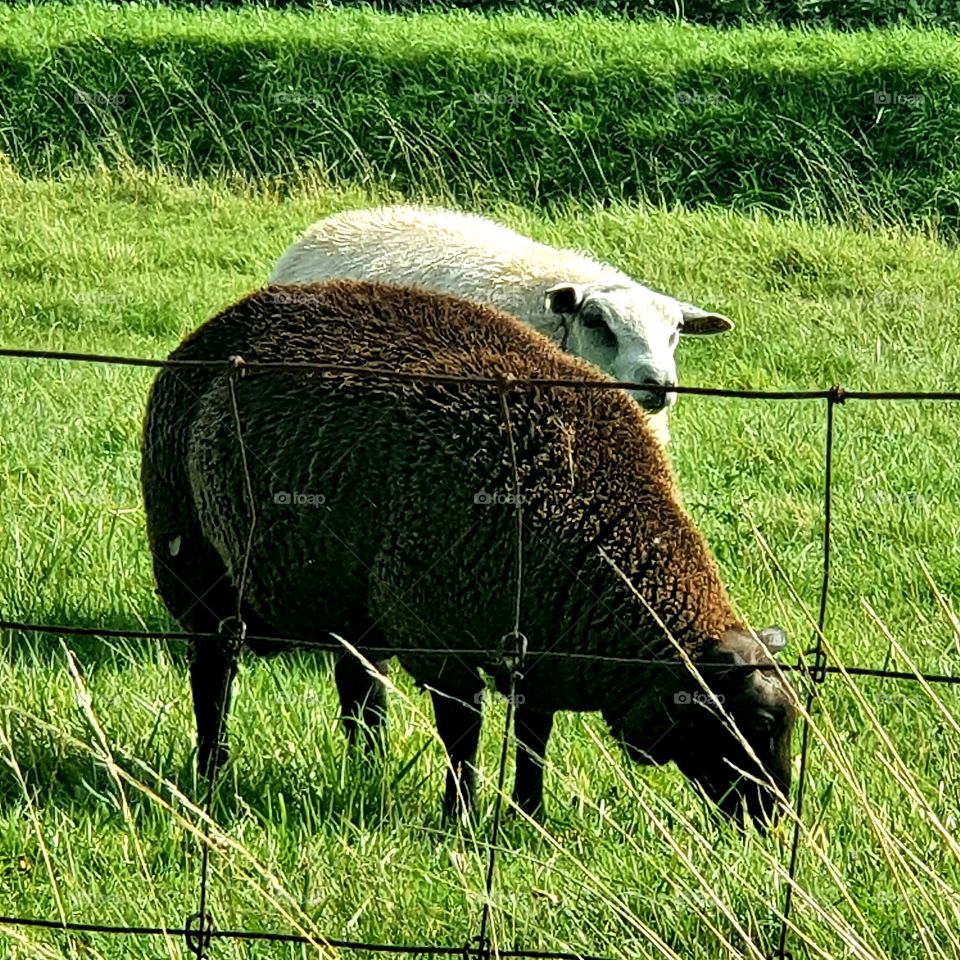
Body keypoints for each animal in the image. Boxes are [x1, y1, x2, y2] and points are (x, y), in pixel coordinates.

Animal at [141, 280, 794, 825]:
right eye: (759, 723)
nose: (775, 818)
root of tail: (219, 322)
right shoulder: (437, 636)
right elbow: (465, 730)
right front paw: (461, 818)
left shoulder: (542, 647)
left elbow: (533, 735)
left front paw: (528, 815)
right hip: (194, 562)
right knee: (214, 674)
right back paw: (212, 771)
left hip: (354, 599)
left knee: (360, 684)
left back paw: (368, 770)